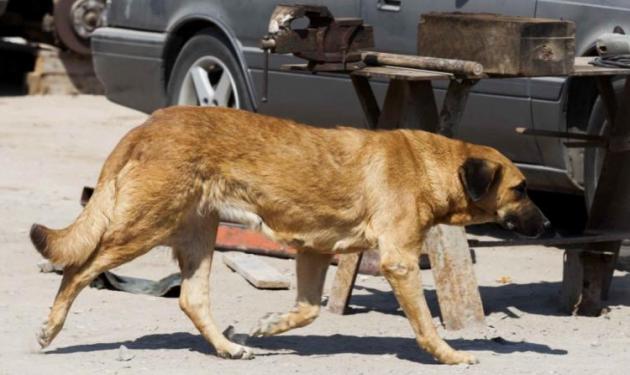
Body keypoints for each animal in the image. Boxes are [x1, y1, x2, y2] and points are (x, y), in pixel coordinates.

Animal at [29, 107, 548, 366]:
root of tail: (147, 125)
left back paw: (230, 349)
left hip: (198, 233)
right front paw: (449, 355)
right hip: (142, 227)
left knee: (192, 299)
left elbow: (308, 309)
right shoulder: (398, 261)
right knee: (77, 269)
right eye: (521, 189)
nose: (547, 227)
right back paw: (50, 329)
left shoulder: (315, 251)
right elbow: (424, 323)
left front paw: (268, 325)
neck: (431, 165)